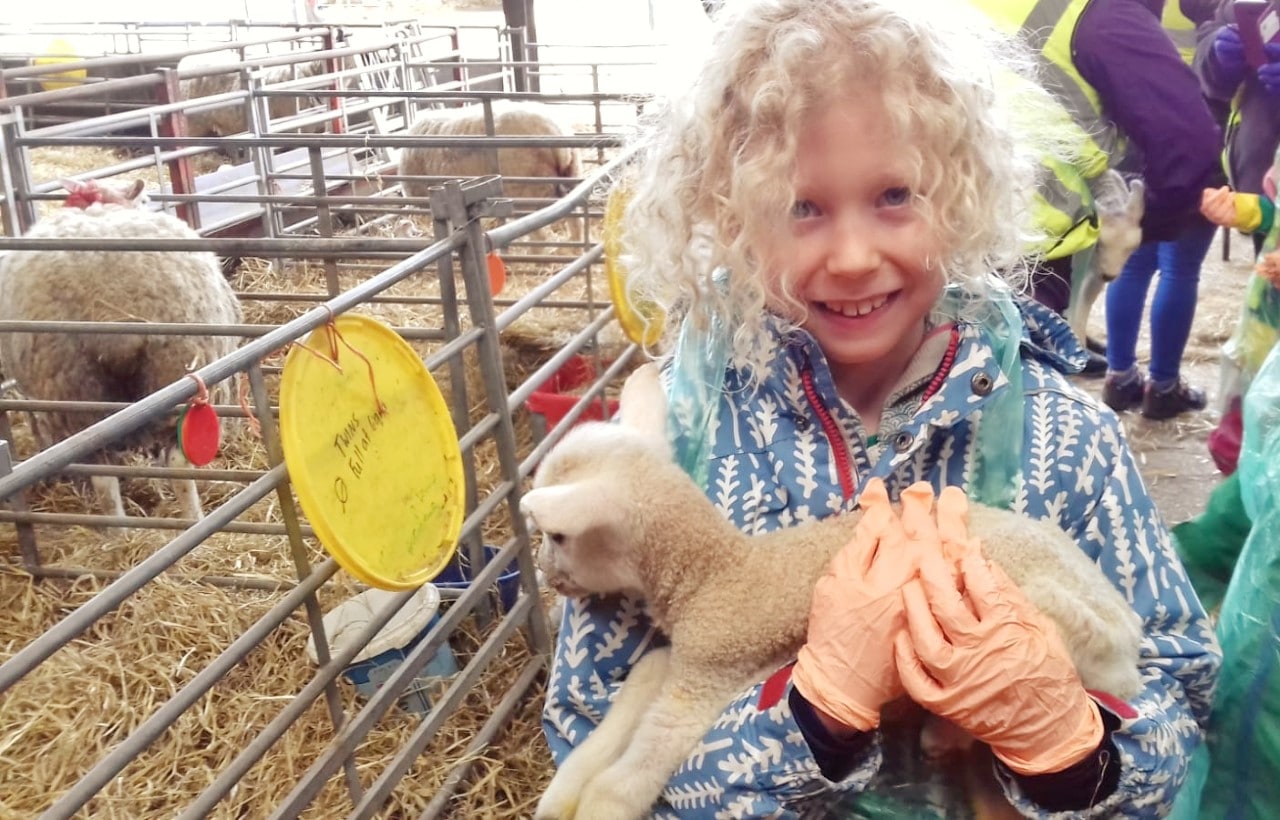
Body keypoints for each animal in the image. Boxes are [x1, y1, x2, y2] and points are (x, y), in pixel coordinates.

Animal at [0, 177, 243, 516]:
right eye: (144, 201)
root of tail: (110, 308)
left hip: (74, 392)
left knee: (104, 476)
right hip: (174, 371)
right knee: (176, 464)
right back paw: (194, 517)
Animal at [524, 363, 1146, 818]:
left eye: (558, 536)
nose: (550, 577)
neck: (715, 575)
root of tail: (1124, 629)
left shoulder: (710, 672)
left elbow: (634, 772)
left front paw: (594, 803)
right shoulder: (684, 660)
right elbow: (631, 692)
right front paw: (559, 797)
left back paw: (943, 733)